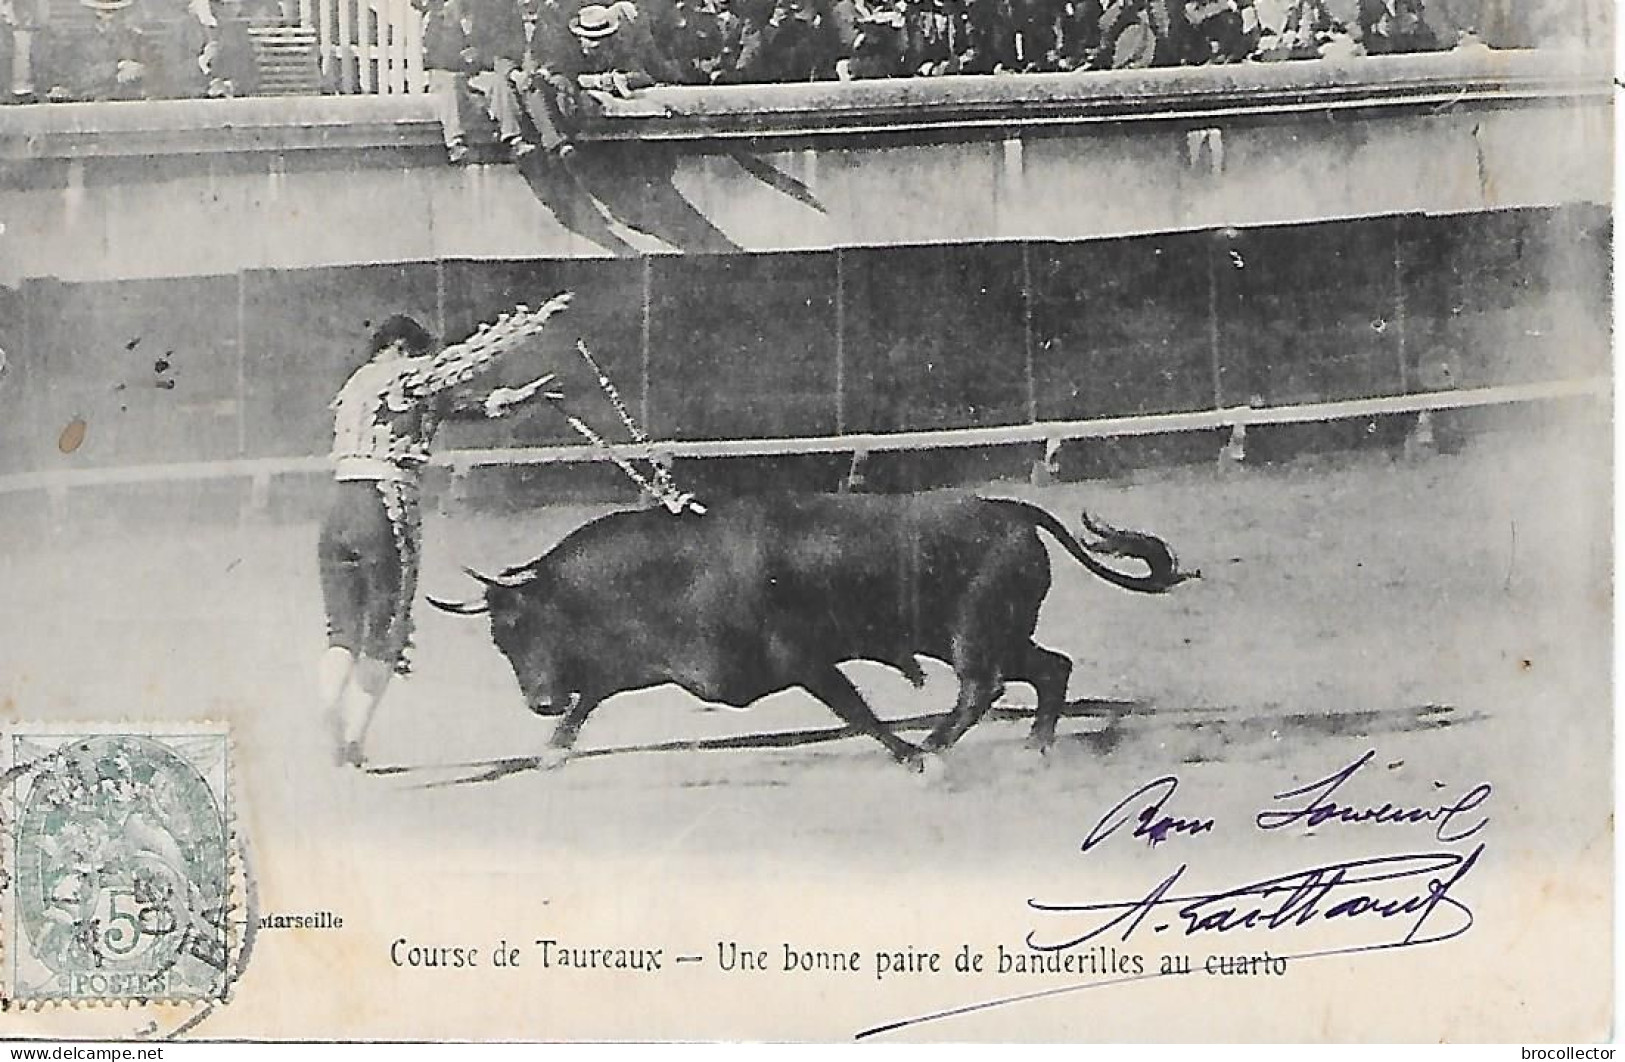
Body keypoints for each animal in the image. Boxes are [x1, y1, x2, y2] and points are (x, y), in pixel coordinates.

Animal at [425, 493, 1202, 769]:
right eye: (499, 640)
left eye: (525, 627)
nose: (537, 703)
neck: (674, 569)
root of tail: (1009, 509)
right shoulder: (672, 667)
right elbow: (596, 694)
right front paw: (552, 750)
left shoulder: (802, 661)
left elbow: (854, 709)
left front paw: (906, 756)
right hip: (995, 634)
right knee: (1050, 668)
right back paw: (1037, 746)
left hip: (974, 636)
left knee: (983, 687)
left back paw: (937, 746)